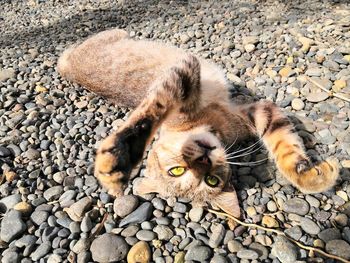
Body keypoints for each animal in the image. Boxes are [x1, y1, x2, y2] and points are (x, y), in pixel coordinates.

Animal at [58, 28, 340, 219]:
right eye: (210, 180)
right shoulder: (254, 110)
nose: (202, 159)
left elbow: (153, 108)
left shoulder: (185, 71)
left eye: (176, 171)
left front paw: (123, 152)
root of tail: (64, 63)